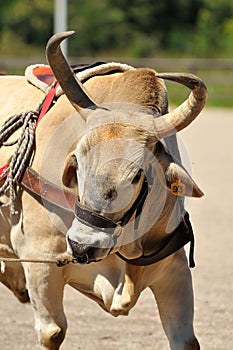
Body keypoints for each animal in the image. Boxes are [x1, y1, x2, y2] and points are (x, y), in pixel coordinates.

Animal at [0, 31, 208, 348]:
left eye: (137, 175)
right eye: (76, 161)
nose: (82, 245)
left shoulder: (174, 269)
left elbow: (186, 341)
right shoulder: (39, 260)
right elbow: (53, 332)